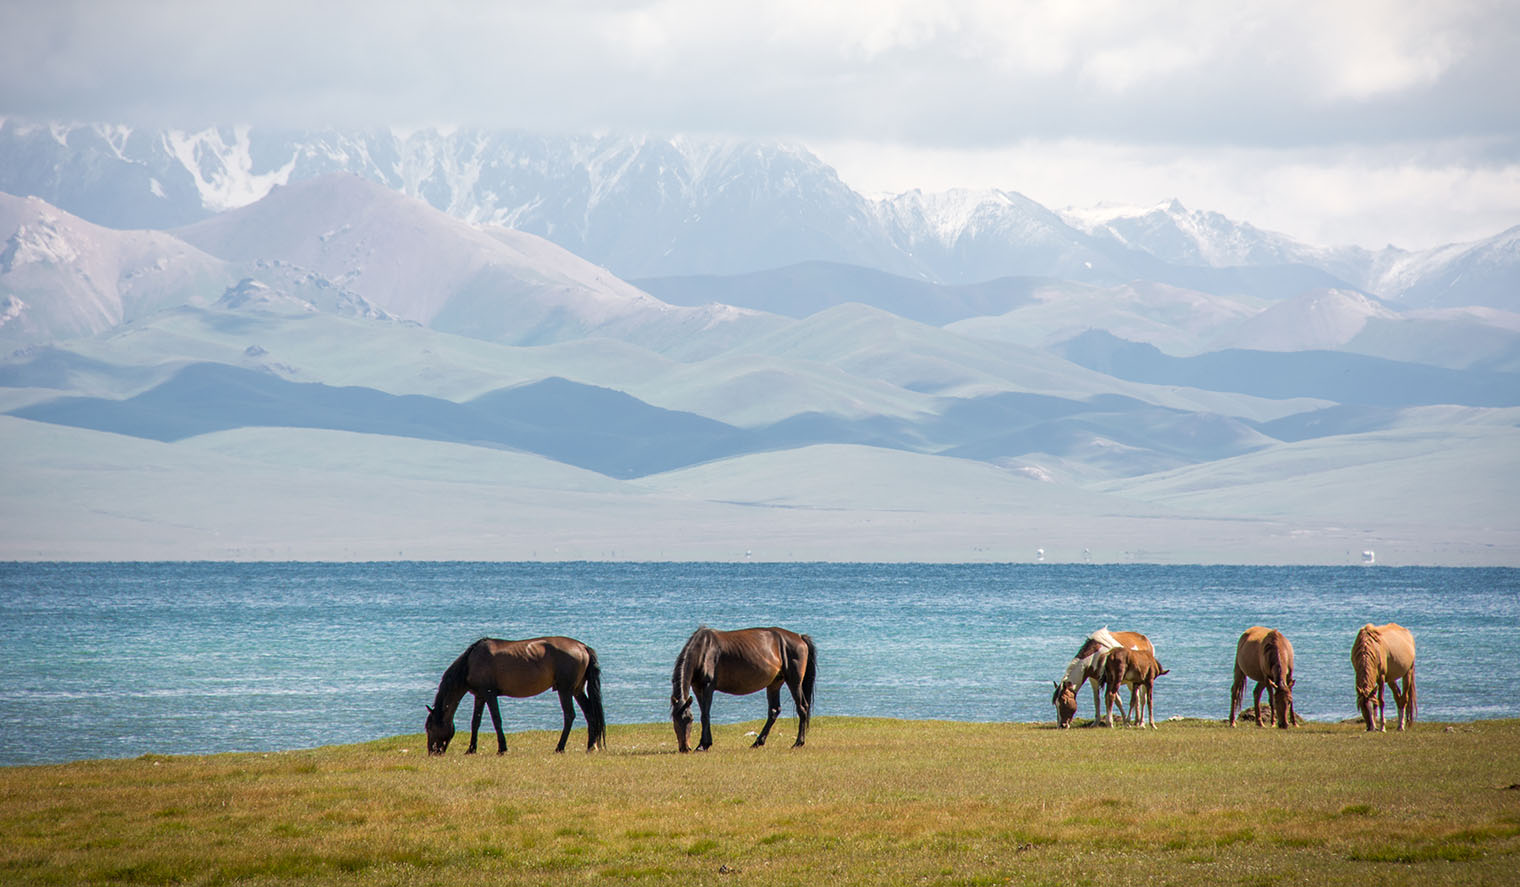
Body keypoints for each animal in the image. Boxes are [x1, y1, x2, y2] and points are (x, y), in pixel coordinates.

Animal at [422, 637, 604, 756]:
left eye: (429, 727)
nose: (432, 752)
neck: (470, 662)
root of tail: (582, 647)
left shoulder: (489, 694)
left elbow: (496, 719)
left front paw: (502, 748)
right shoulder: (480, 696)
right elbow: (475, 722)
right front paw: (471, 749)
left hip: (565, 690)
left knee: (569, 715)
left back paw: (560, 747)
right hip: (577, 690)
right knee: (590, 714)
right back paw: (590, 746)